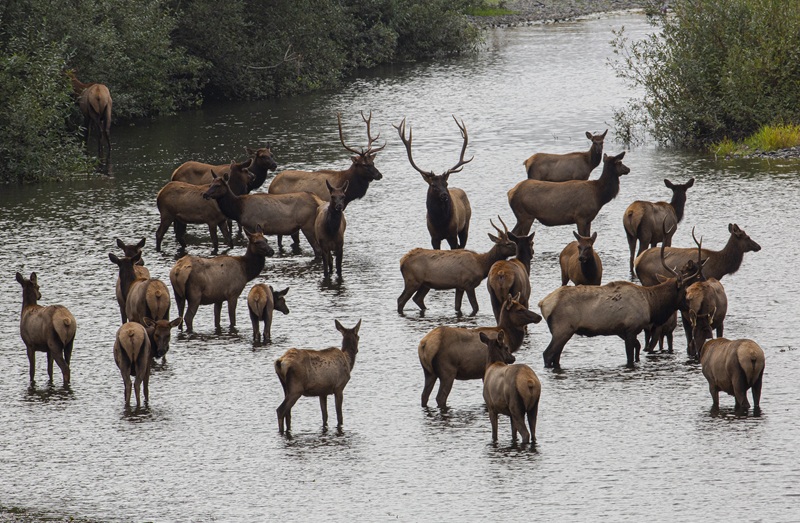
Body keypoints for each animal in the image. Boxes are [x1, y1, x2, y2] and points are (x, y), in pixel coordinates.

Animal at [394, 115, 473, 249]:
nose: (445, 195)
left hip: (465, 225)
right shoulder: (433, 237)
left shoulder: (452, 235)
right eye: (433, 185)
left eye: (446, 184)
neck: (440, 222)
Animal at [538, 241, 701, 369]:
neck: (651, 305)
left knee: (556, 357)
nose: (690, 308)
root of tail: (543, 304)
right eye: (685, 292)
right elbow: (630, 356)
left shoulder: (622, 330)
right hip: (563, 329)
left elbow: (638, 349)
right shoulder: (631, 328)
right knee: (548, 354)